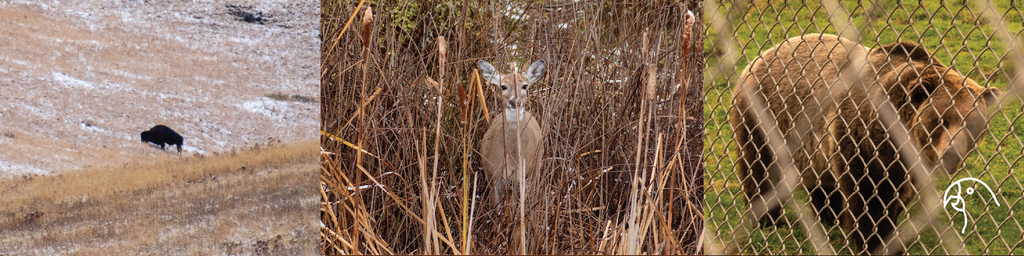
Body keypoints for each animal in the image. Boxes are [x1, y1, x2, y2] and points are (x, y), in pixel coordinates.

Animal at [477, 58, 544, 208]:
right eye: (503, 86)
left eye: (525, 86)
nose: (514, 101)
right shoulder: (492, 174)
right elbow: (496, 208)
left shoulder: (521, 176)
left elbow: (514, 206)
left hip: (535, 170)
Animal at [733, 34, 1003, 253]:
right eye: (941, 119)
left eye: (972, 123)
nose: (951, 154)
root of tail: (759, 57)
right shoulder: (864, 136)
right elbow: (869, 194)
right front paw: (875, 241)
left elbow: (898, 196)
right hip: (767, 115)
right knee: (761, 169)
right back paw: (767, 219)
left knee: (821, 181)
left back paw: (829, 216)